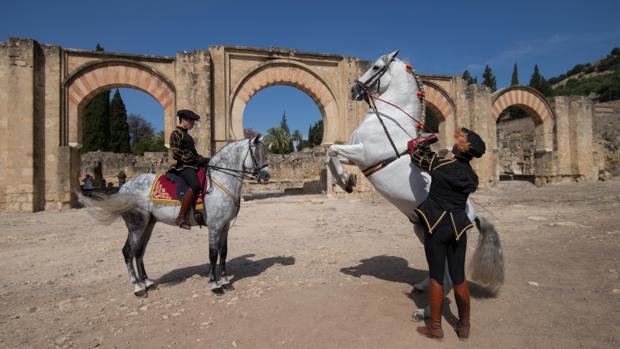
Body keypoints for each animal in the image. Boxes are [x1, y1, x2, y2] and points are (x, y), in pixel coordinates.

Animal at [324, 50, 504, 320]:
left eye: (376, 67)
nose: (354, 90)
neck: (389, 121)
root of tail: (473, 216)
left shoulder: (363, 154)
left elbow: (332, 149)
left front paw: (345, 181)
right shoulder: (357, 156)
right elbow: (329, 155)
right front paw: (345, 179)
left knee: (448, 280)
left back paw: (425, 311)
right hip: (422, 232)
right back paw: (422, 285)